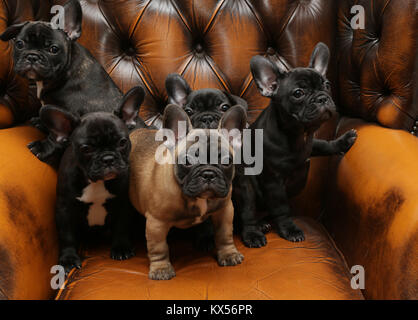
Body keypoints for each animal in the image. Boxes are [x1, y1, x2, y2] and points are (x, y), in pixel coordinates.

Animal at [0, 0, 145, 165]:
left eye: (53, 49)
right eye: (19, 44)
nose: (32, 56)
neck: (65, 72)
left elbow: (56, 136)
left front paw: (42, 147)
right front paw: (41, 122)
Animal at [38, 87, 145, 272]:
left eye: (122, 142)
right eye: (86, 149)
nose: (108, 158)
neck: (96, 182)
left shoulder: (123, 204)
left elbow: (122, 226)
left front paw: (121, 248)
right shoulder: (64, 209)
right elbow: (67, 235)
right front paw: (68, 259)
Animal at [131, 104, 247, 278]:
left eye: (227, 162)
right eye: (187, 161)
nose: (208, 174)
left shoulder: (224, 211)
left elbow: (224, 235)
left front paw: (228, 254)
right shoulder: (156, 223)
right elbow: (158, 248)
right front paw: (161, 268)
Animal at [233, 42, 358, 248]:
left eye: (327, 85)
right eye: (298, 93)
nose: (322, 97)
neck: (298, 134)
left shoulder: (311, 144)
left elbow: (323, 144)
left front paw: (343, 141)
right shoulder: (273, 182)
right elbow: (282, 208)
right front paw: (290, 230)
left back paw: (263, 223)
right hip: (246, 188)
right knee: (247, 214)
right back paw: (254, 233)